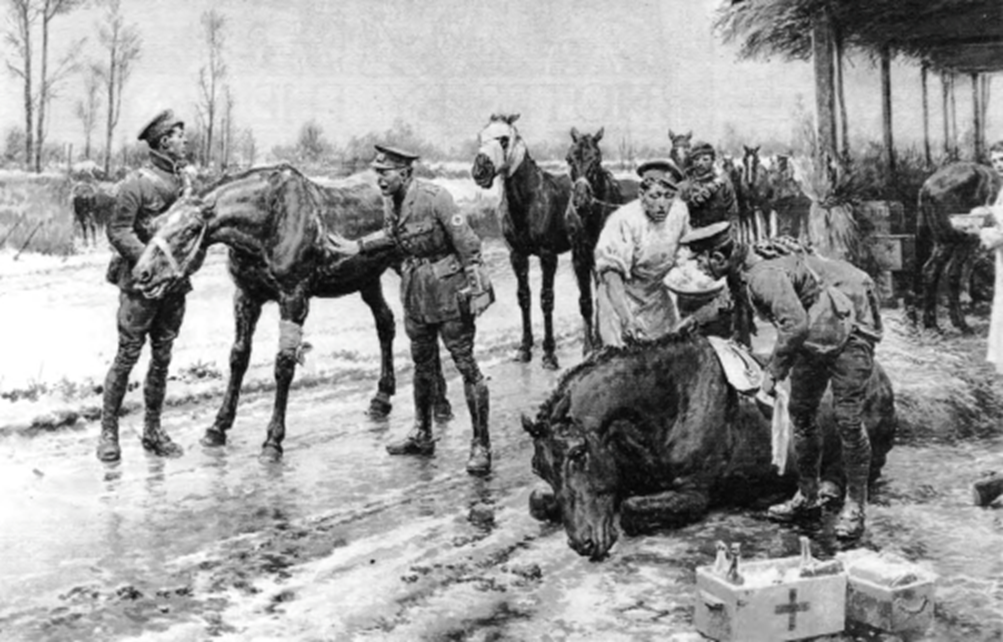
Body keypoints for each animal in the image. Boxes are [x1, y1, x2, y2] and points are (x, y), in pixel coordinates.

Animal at [132, 162, 447, 459]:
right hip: (368, 279)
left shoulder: (293, 298)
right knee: (386, 323)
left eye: (191, 230)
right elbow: (238, 357)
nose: (142, 273)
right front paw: (218, 426)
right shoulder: (246, 297)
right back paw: (382, 398)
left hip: (405, 267)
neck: (268, 223)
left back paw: (440, 404)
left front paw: (273, 440)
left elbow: (284, 364)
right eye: (155, 223)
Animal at [473, 112, 577, 369]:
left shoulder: (548, 256)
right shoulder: (517, 255)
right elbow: (524, 297)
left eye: (503, 139)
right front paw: (524, 349)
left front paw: (549, 354)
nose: (480, 171)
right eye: (480, 137)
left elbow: (546, 299)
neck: (528, 201)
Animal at [521, 333, 898, 557]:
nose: (582, 543)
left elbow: (629, 509)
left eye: (578, 453)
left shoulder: (694, 493)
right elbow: (537, 501)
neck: (669, 400)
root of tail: (880, 376)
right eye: (539, 469)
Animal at [565, 127, 625, 353]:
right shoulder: (580, 259)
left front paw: (599, 340)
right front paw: (588, 346)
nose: (581, 200)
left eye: (597, 159)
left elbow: (602, 299)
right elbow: (586, 301)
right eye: (569, 159)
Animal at [914, 161, 998, 331]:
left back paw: (956, 322)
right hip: (951, 241)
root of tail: (926, 186)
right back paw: (935, 323)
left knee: (950, 273)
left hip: (955, 241)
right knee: (934, 270)